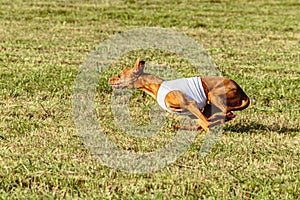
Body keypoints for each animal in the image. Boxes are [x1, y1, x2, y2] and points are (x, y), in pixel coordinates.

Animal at [109, 58, 250, 133]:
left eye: (120, 75)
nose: (110, 79)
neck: (158, 86)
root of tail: (241, 89)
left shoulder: (191, 105)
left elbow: (207, 123)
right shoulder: (189, 112)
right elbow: (204, 124)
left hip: (213, 95)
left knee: (228, 114)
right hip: (209, 105)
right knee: (207, 122)